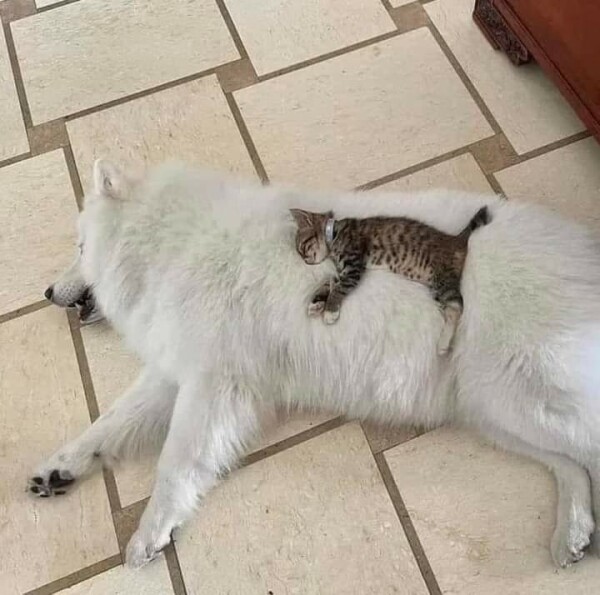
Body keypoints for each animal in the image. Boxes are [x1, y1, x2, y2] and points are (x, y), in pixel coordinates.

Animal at [292, 206, 490, 354]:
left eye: (302, 248)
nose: (306, 261)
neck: (335, 233)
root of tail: (457, 239)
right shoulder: (343, 271)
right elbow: (329, 283)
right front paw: (316, 303)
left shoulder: (353, 266)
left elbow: (339, 289)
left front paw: (330, 311)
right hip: (437, 287)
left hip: (443, 281)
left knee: (457, 307)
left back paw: (443, 342)